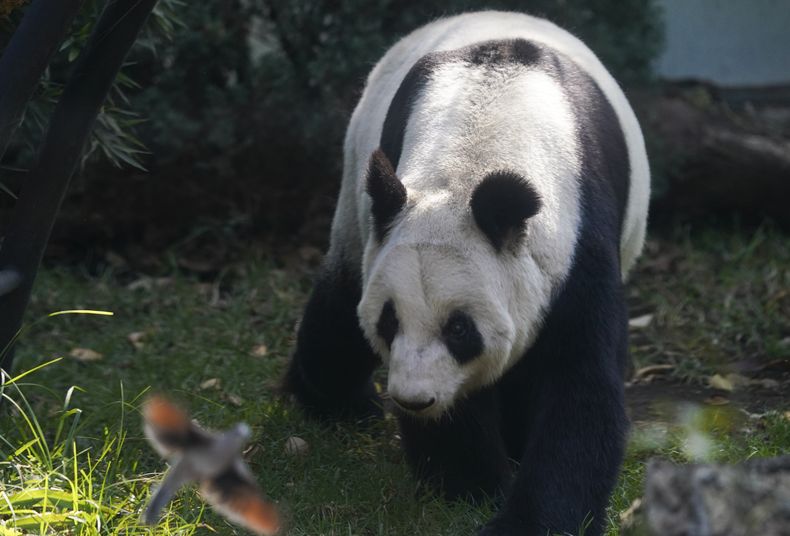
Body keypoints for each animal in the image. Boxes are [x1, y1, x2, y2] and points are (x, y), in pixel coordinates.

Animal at [283, 10, 649, 536]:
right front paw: (470, 485)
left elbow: (580, 384)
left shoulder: (580, 238)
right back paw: (336, 402)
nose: (413, 400)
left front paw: (529, 518)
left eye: (460, 329)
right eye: (389, 321)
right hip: (358, 201)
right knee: (339, 303)